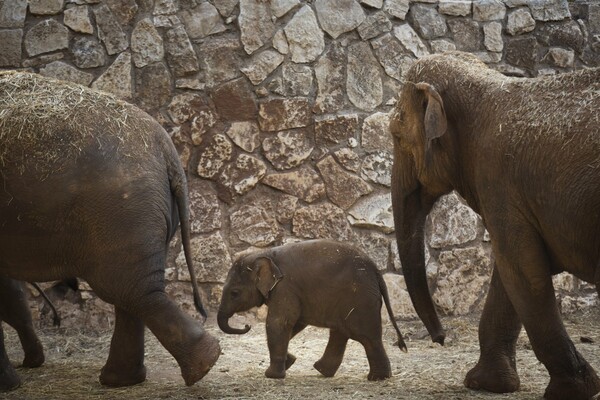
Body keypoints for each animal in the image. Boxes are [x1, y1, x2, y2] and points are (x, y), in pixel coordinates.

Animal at [0, 71, 220, 390]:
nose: (55, 319)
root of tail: (166, 149)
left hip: (120, 211)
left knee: (131, 290)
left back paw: (200, 365)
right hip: (140, 214)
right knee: (132, 291)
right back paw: (126, 379)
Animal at [216, 239, 408, 380]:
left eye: (234, 293)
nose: (246, 326)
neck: (263, 254)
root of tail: (376, 271)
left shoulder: (285, 287)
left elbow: (279, 322)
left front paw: (272, 375)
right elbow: (295, 323)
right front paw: (289, 361)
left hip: (360, 299)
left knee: (365, 336)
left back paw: (376, 378)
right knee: (341, 333)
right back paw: (325, 371)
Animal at [390, 50, 600, 400]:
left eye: (395, 135)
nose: (440, 338)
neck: (486, 85)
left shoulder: (499, 180)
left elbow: (523, 273)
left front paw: (572, 390)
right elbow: (509, 271)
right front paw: (486, 384)